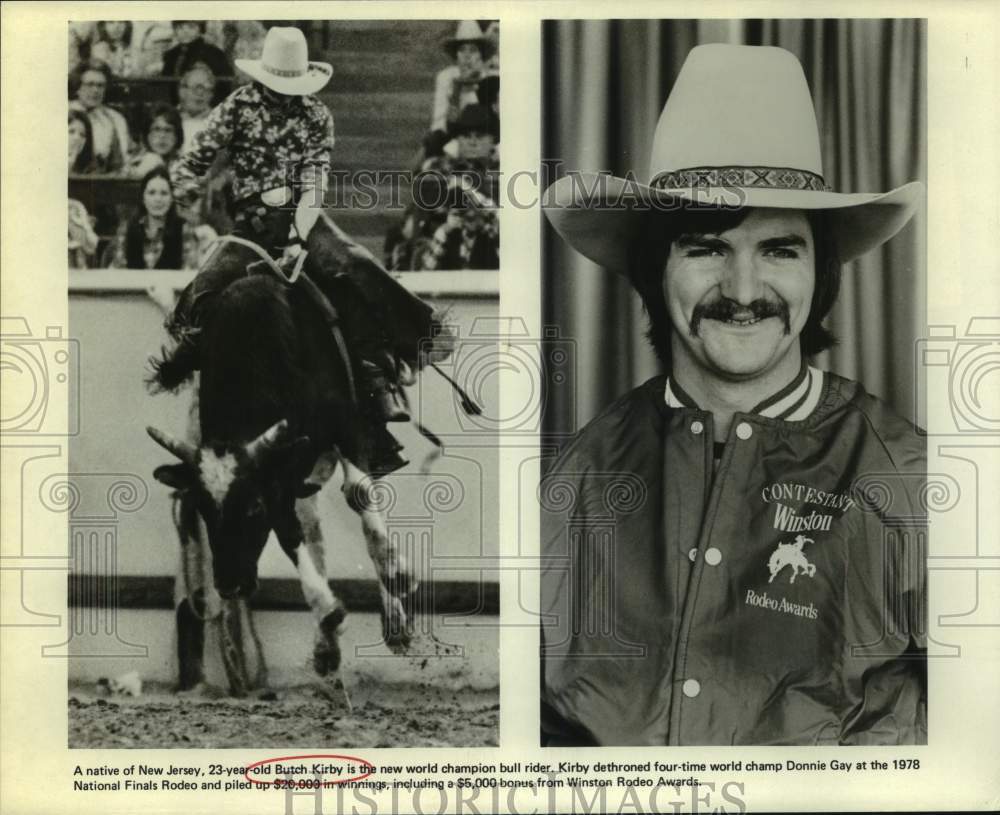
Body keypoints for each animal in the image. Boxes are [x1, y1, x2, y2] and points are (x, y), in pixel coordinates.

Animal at [145, 214, 460, 700]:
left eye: (251, 509)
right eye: (202, 509)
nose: (230, 582)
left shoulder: (345, 425)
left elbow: (357, 494)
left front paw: (398, 575)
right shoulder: (280, 469)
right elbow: (291, 532)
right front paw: (327, 616)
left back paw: (395, 621)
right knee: (314, 531)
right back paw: (330, 649)